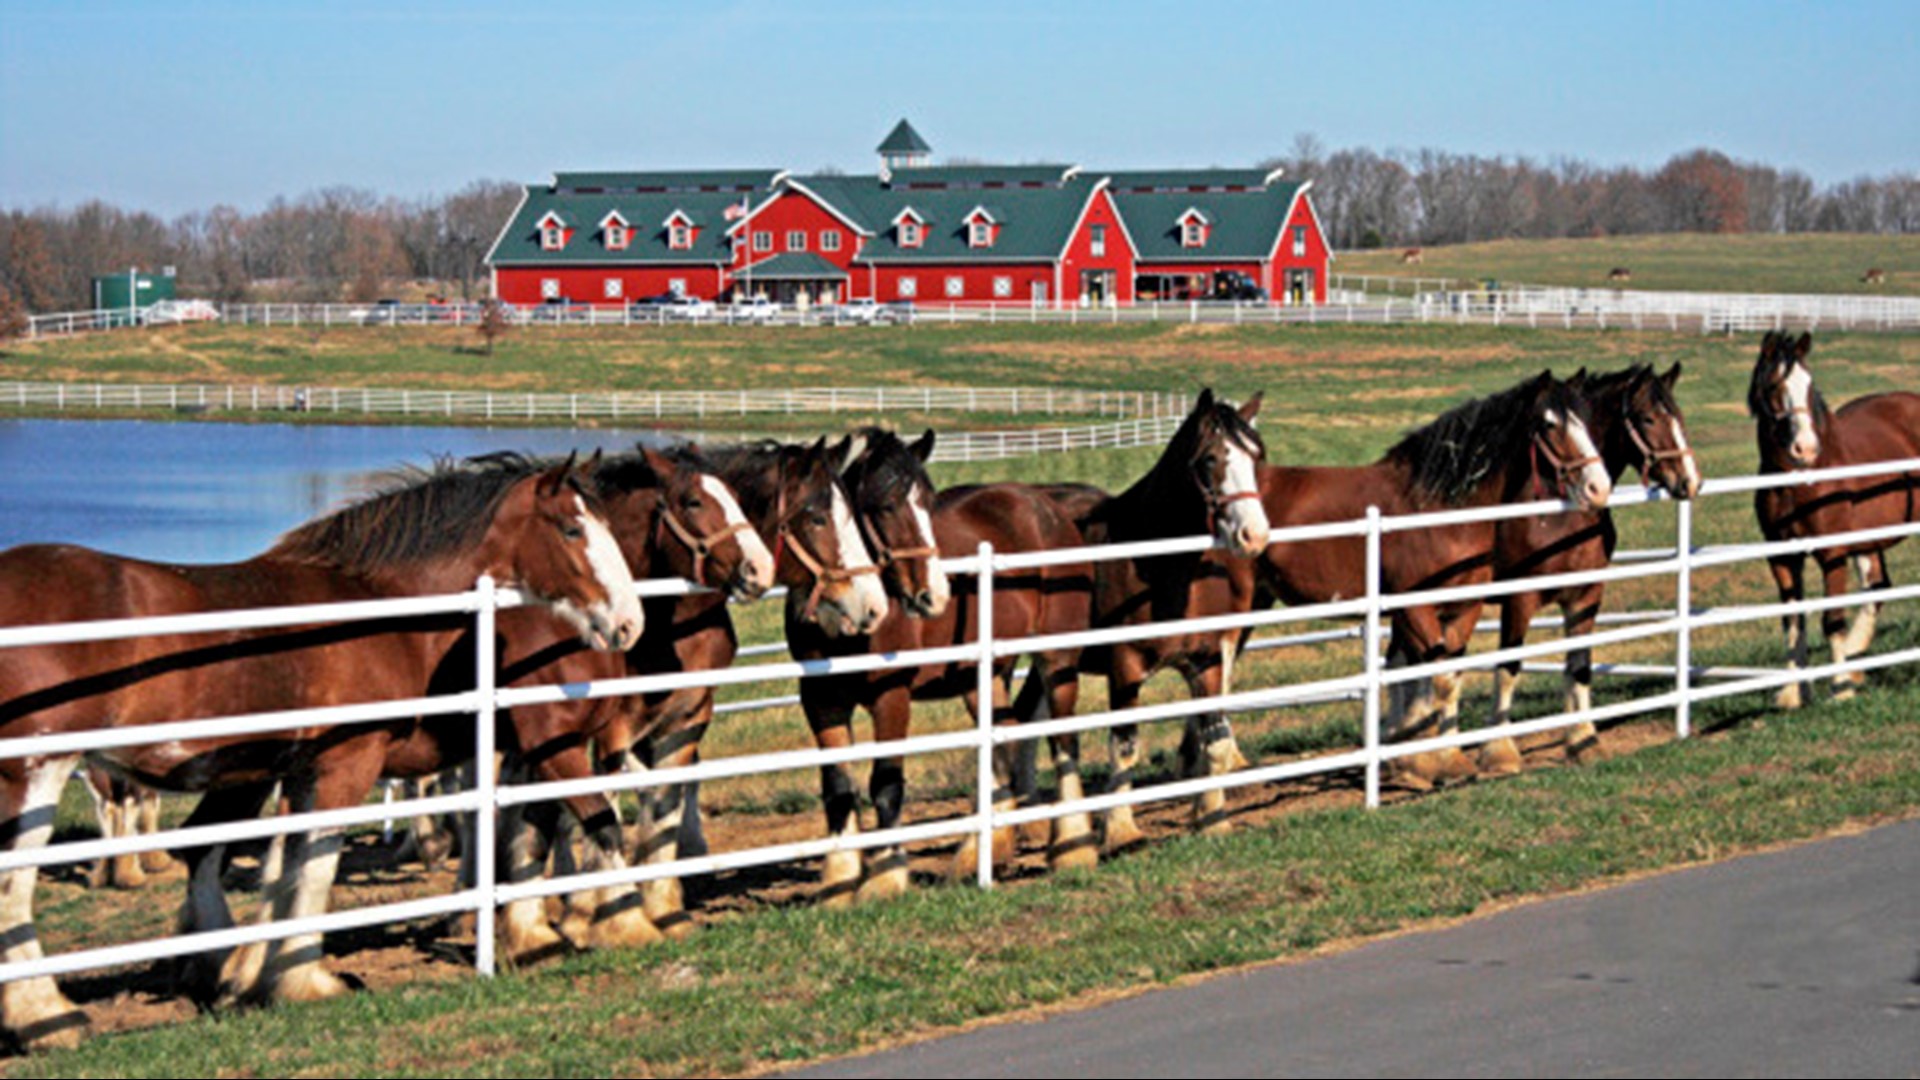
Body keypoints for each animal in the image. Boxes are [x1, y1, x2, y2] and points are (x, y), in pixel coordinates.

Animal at [0, 454, 642, 1051]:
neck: (379, 606)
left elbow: (287, 872)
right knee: (15, 886)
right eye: (571, 529)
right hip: (37, 773)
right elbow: (314, 869)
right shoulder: (346, 766)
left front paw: (258, 978)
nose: (627, 623)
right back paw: (45, 1017)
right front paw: (305, 983)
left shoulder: (301, 772)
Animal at [1036, 388, 1272, 851]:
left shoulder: (1208, 661)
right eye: (1210, 459)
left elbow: (1215, 742)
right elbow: (1125, 746)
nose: (1254, 536)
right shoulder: (1124, 668)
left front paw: (1211, 818)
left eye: (1257, 455)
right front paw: (1121, 831)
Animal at [1247, 371, 1613, 791]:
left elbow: (1449, 678)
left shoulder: (1465, 608)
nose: (1599, 487)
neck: (1438, 509)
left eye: (1587, 419)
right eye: (1550, 424)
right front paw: (1437, 762)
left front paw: (1439, 759)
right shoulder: (1420, 609)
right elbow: (1431, 678)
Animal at [1477, 364, 1701, 774]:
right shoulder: (1519, 600)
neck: (1559, 513)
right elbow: (1509, 666)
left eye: (1677, 415)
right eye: (1648, 418)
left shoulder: (1585, 593)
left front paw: (1582, 739)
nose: (1691, 481)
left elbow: (1579, 662)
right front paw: (1498, 751)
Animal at [1748, 331, 1920, 707]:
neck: (1799, 482)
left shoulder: (1832, 554)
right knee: (1877, 589)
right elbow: (1793, 622)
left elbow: (1832, 619)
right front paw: (1794, 692)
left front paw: (1840, 687)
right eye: (1774, 386)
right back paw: (1856, 660)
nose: (1805, 448)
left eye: (1809, 384)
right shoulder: (1782, 557)